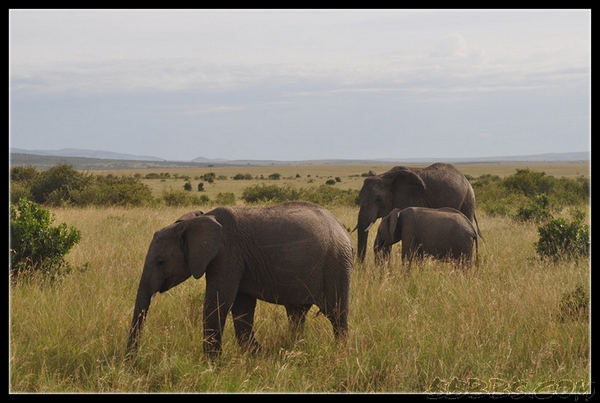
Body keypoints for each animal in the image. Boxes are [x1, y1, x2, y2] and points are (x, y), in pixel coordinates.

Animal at [125, 202, 352, 360]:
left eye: (161, 262)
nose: (131, 362)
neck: (193, 223)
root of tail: (341, 227)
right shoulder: (240, 260)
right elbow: (242, 307)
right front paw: (257, 355)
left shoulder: (227, 255)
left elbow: (218, 302)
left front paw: (212, 364)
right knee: (297, 314)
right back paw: (294, 348)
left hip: (336, 265)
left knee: (336, 313)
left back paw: (340, 354)